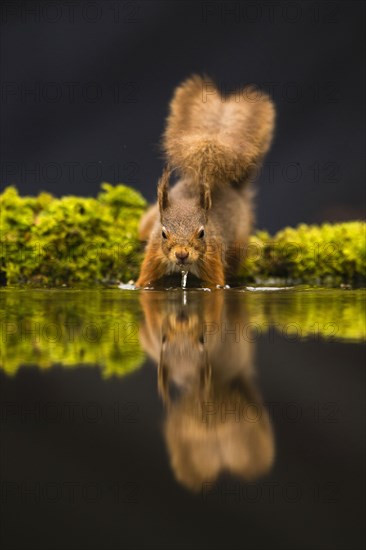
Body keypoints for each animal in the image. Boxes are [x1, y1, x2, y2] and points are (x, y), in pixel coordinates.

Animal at [135, 75, 274, 288]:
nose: (181, 254)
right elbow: (142, 283)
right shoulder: (153, 260)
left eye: (202, 233)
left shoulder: (212, 264)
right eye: (164, 233)